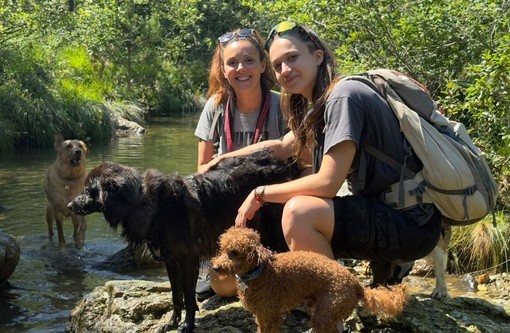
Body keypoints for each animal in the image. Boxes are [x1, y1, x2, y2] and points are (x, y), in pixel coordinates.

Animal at [67, 150, 290, 332]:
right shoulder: (170, 259)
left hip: (274, 230)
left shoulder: (188, 259)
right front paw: (172, 322)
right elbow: (176, 294)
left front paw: (187, 325)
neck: (144, 202)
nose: (69, 205)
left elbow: (188, 297)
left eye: (87, 190)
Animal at [212, 226, 410, 332]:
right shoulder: (261, 315)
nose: (215, 267)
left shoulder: (271, 314)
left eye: (235, 253)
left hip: (326, 311)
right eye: (222, 249)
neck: (258, 272)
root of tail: (357, 285)